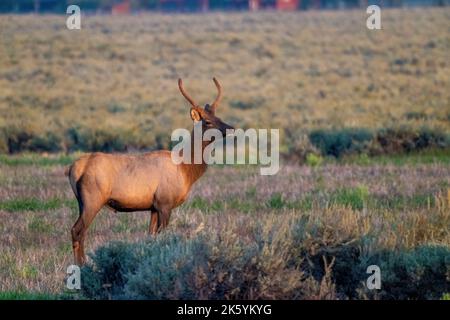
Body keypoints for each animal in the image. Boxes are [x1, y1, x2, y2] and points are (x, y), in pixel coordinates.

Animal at [69, 77, 236, 264]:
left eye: (218, 116)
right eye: (207, 121)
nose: (231, 127)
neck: (185, 170)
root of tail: (73, 169)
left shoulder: (153, 207)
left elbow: (151, 236)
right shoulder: (165, 203)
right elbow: (163, 236)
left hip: (81, 202)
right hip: (93, 200)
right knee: (77, 231)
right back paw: (81, 265)